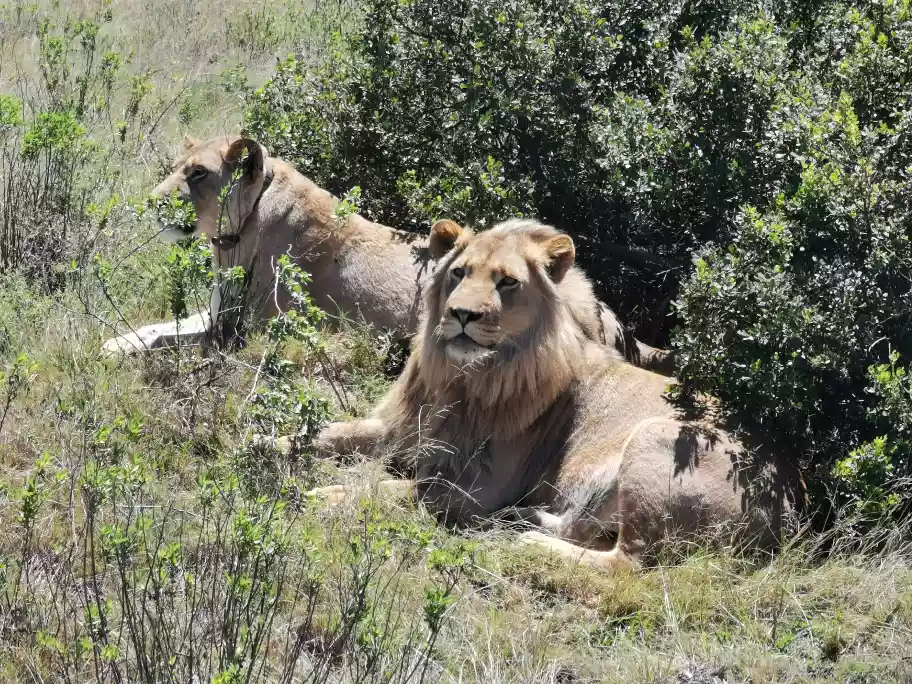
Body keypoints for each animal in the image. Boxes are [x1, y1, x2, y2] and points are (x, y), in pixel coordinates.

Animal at [101, 134, 674, 377]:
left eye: (198, 173)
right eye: (177, 167)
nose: (148, 201)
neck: (233, 238)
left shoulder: (249, 332)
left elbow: (178, 344)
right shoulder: (222, 314)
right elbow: (160, 328)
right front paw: (114, 342)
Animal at [308, 219, 801, 571]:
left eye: (507, 282)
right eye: (458, 273)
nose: (462, 314)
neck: (462, 380)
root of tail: (789, 507)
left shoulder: (478, 489)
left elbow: (388, 488)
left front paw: (324, 496)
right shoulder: (400, 429)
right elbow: (325, 435)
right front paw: (286, 448)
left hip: (657, 437)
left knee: (626, 562)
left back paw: (528, 542)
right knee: (580, 530)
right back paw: (525, 521)